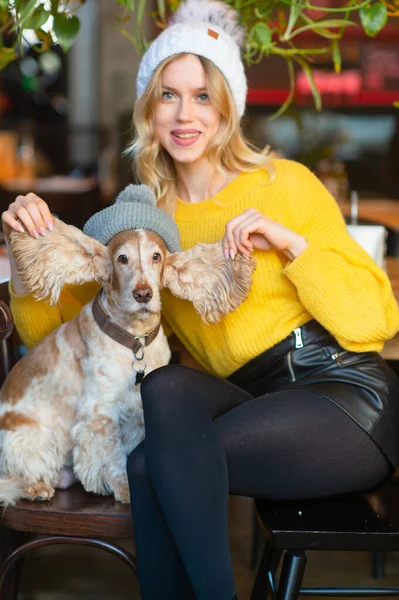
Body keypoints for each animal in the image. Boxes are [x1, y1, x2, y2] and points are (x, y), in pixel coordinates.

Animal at [0, 218, 256, 504]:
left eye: (156, 256)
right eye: (122, 258)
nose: (143, 294)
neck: (135, 340)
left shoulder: (138, 408)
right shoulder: (100, 412)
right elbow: (112, 457)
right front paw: (124, 489)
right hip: (28, 437)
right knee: (15, 475)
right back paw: (36, 487)